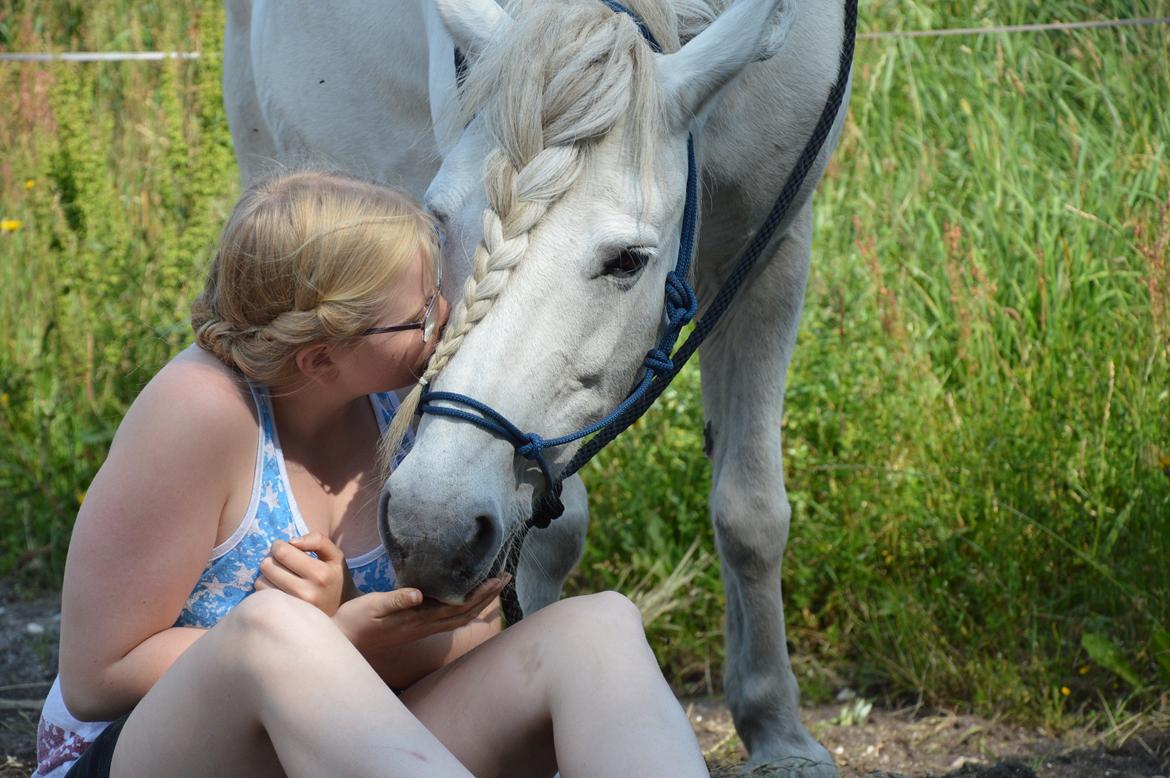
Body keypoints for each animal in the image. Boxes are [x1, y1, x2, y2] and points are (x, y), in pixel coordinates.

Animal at [225, 0, 851, 767]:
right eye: (439, 219)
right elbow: (553, 533)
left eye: (628, 259)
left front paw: (779, 734)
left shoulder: (773, 247)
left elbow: (751, 512)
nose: (430, 528)